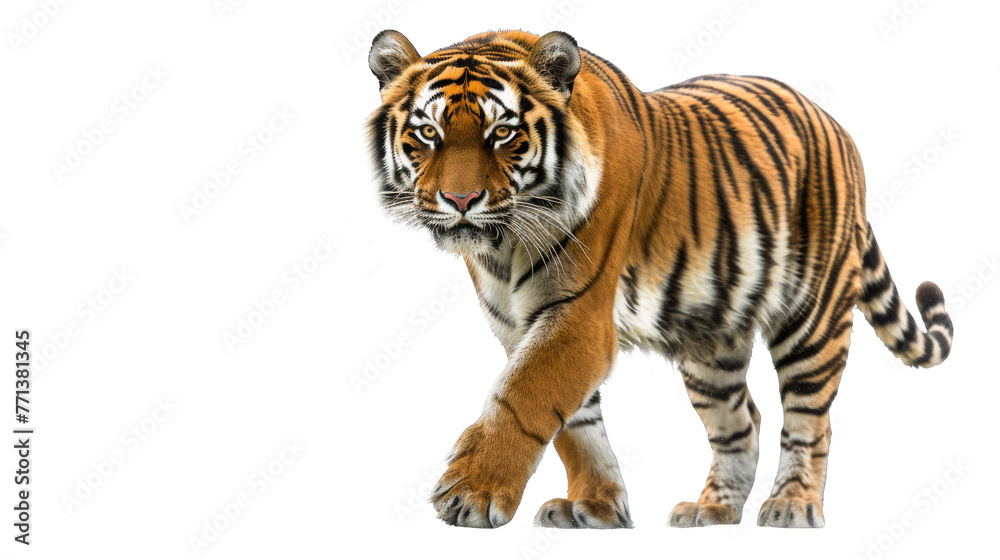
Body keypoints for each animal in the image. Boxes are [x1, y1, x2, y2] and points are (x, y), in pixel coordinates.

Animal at [365, 29, 954, 529]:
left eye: (502, 133)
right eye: (428, 133)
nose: (460, 200)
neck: (503, 246)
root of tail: (836, 127)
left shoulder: (578, 317)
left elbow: (523, 396)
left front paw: (472, 492)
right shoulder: (519, 326)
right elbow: (575, 426)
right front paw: (596, 507)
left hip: (813, 313)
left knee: (812, 417)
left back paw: (792, 505)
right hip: (710, 343)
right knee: (742, 421)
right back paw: (713, 510)